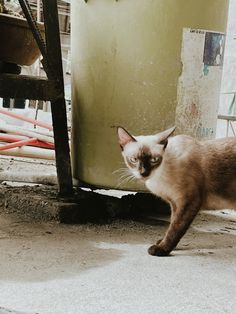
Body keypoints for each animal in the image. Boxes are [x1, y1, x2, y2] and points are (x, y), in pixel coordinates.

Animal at [117, 126, 236, 256]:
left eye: (154, 160)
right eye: (134, 159)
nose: (144, 173)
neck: (160, 175)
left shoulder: (189, 201)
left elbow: (175, 228)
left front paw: (162, 248)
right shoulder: (174, 203)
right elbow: (172, 223)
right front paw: (162, 242)